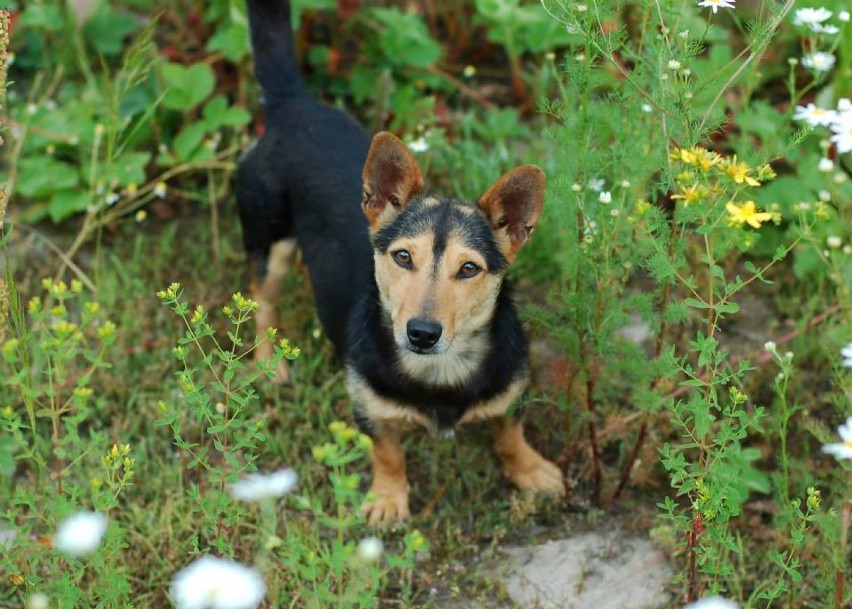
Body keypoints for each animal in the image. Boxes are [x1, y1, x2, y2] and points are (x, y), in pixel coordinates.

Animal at [236, 0, 564, 524]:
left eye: (469, 268)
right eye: (403, 257)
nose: (422, 333)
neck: (440, 370)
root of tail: (293, 103)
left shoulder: (512, 387)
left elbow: (510, 431)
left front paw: (529, 470)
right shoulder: (368, 408)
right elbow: (387, 451)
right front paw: (389, 498)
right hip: (270, 239)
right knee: (261, 298)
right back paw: (268, 362)